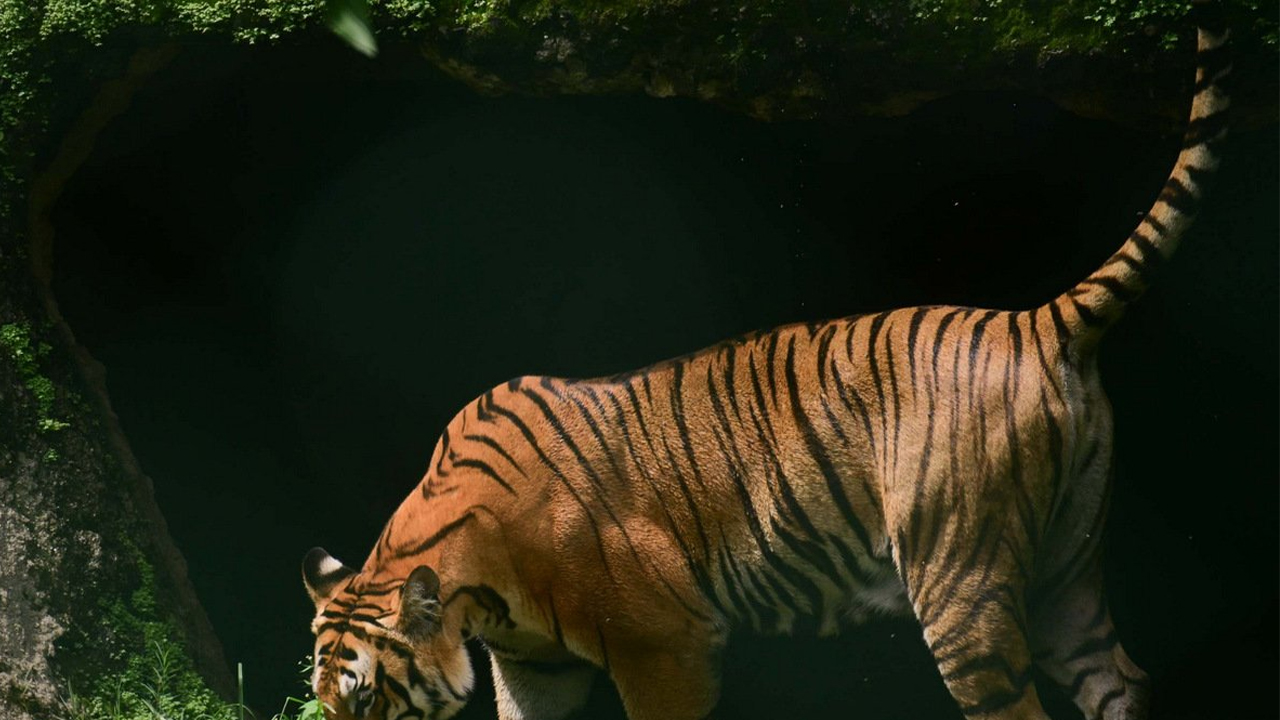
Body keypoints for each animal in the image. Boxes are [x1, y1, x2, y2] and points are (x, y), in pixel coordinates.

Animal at [300, 9, 1230, 720]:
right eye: (325, 701)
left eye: (369, 699)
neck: (483, 588)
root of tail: (1034, 323)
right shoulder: (537, 669)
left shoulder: (663, 646)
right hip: (1066, 570)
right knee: (1121, 682)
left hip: (963, 586)